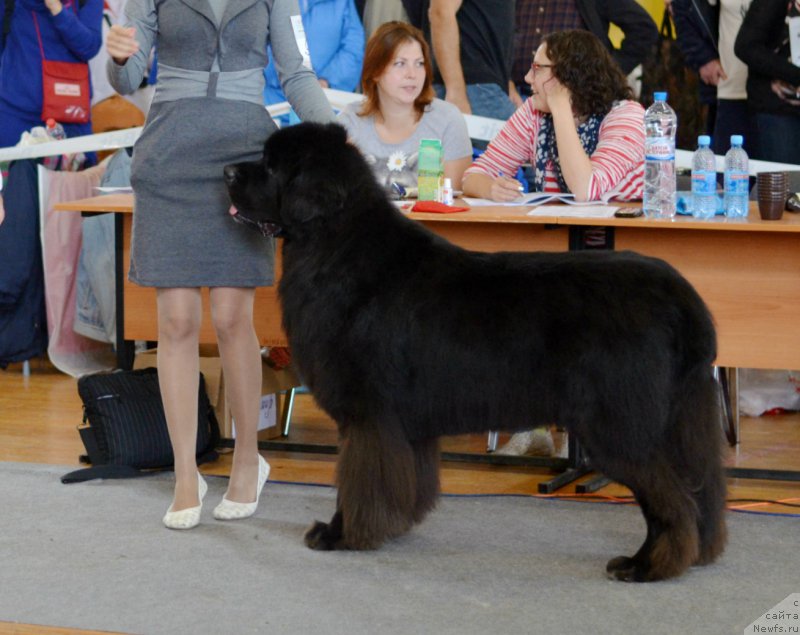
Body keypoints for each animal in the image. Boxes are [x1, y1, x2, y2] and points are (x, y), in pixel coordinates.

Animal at [223, 123, 724, 580]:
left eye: (271, 165)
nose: (226, 171)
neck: (335, 243)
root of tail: (682, 297)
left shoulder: (369, 416)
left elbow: (357, 482)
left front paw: (341, 534)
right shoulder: (405, 424)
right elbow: (406, 480)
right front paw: (392, 525)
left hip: (618, 422)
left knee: (671, 497)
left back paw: (648, 565)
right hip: (678, 420)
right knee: (698, 489)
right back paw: (696, 552)